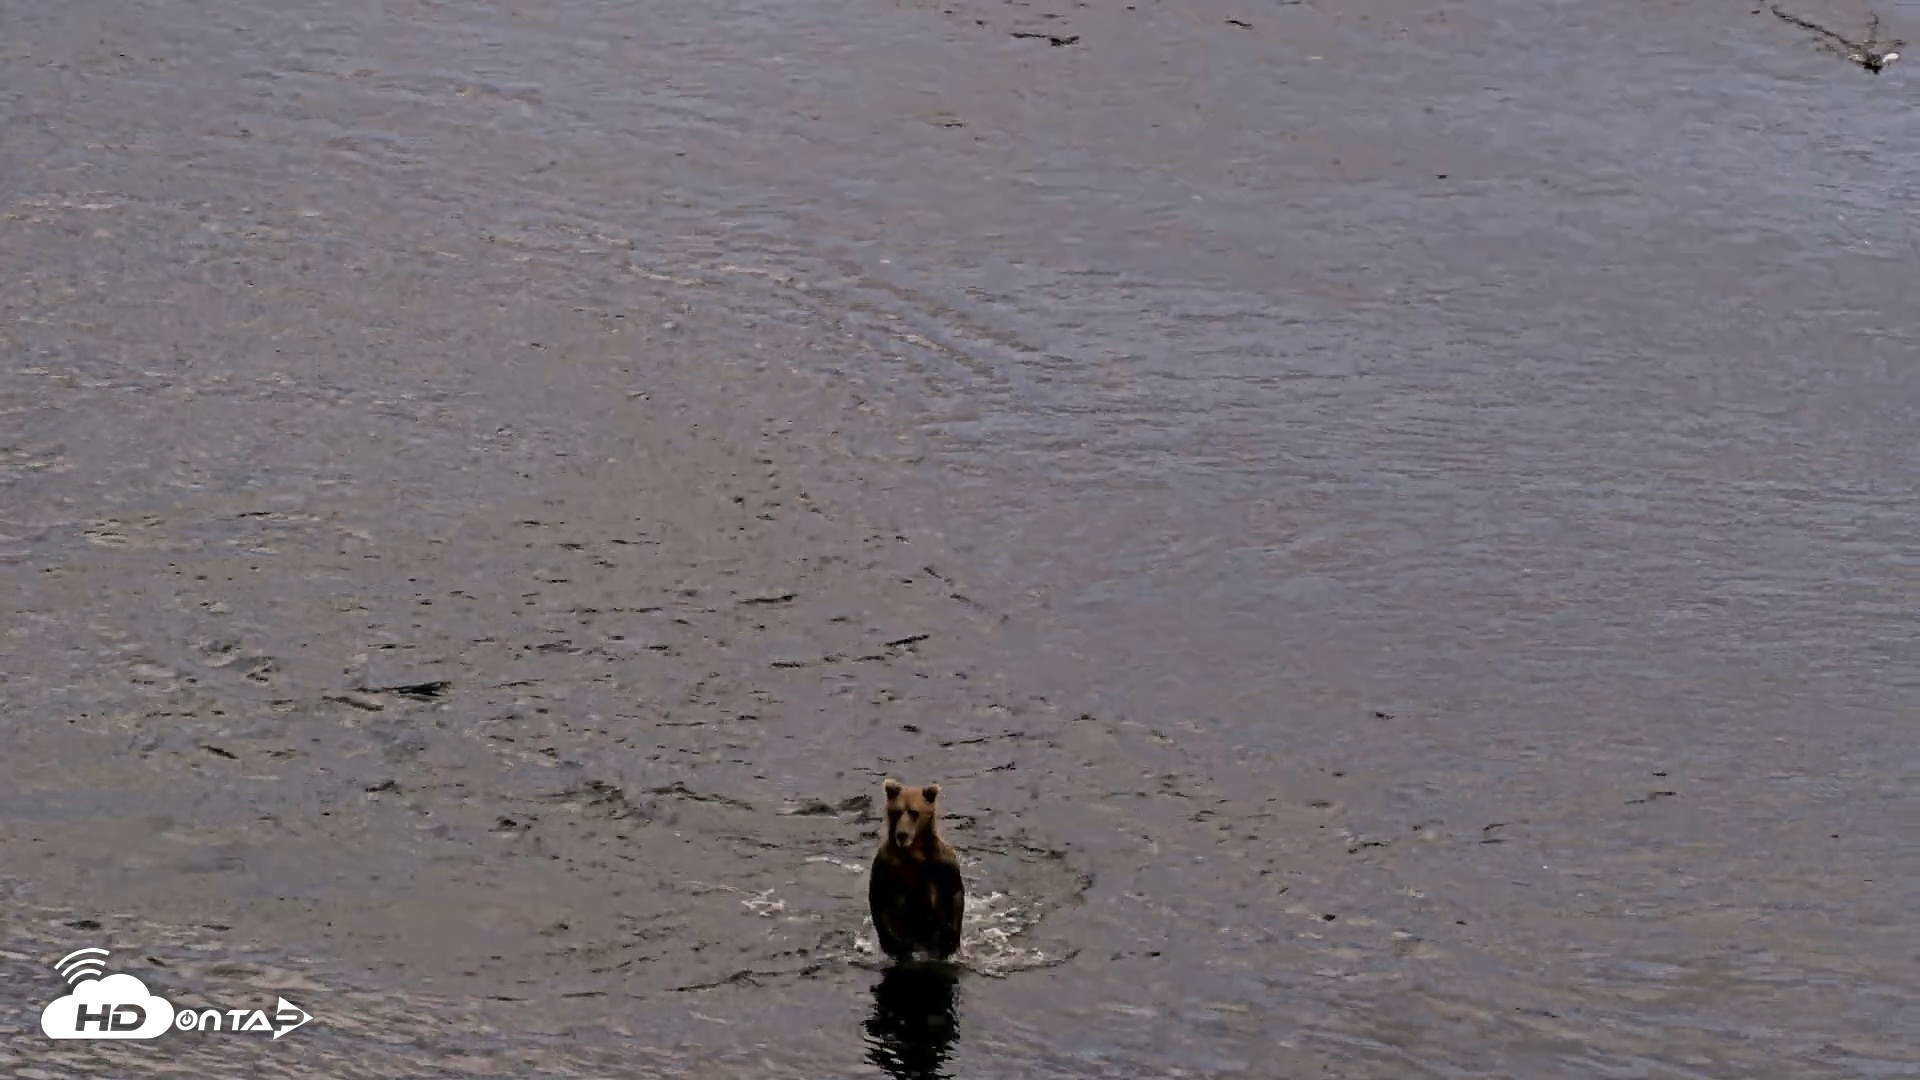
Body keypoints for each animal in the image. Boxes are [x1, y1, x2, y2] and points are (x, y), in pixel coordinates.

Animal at [868, 778, 965, 961]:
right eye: (897, 812)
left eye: (914, 812)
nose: (902, 834)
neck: (914, 853)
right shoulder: (884, 864)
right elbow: (878, 896)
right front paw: (891, 943)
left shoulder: (942, 862)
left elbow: (955, 891)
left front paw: (950, 941)